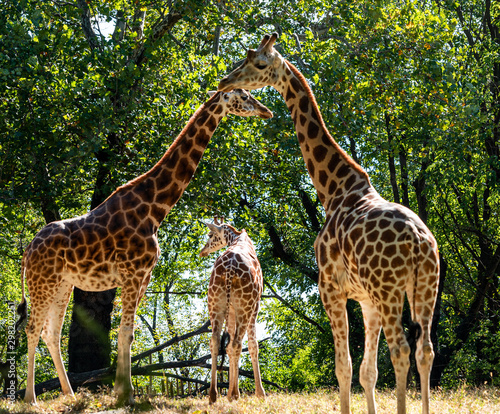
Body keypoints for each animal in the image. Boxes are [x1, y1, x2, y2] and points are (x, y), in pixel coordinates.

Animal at [199, 220, 266, 404]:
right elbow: (253, 345)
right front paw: (259, 393)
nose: (202, 251)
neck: (238, 238)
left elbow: (227, 347)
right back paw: (234, 394)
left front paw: (230, 392)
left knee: (215, 341)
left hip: (215, 303)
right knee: (237, 343)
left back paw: (213, 395)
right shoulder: (255, 305)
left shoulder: (231, 310)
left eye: (210, 235)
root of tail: (229, 271)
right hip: (245, 305)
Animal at [217, 33, 440, 414]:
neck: (334, 190)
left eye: (258, 63)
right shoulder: (365, 299)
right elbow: (367, 371)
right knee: (425, 350)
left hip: (392, 290)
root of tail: (419, 242)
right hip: (426, 287)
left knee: (402, 350)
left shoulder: (330, 288)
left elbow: (343, 367)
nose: (225, 81)